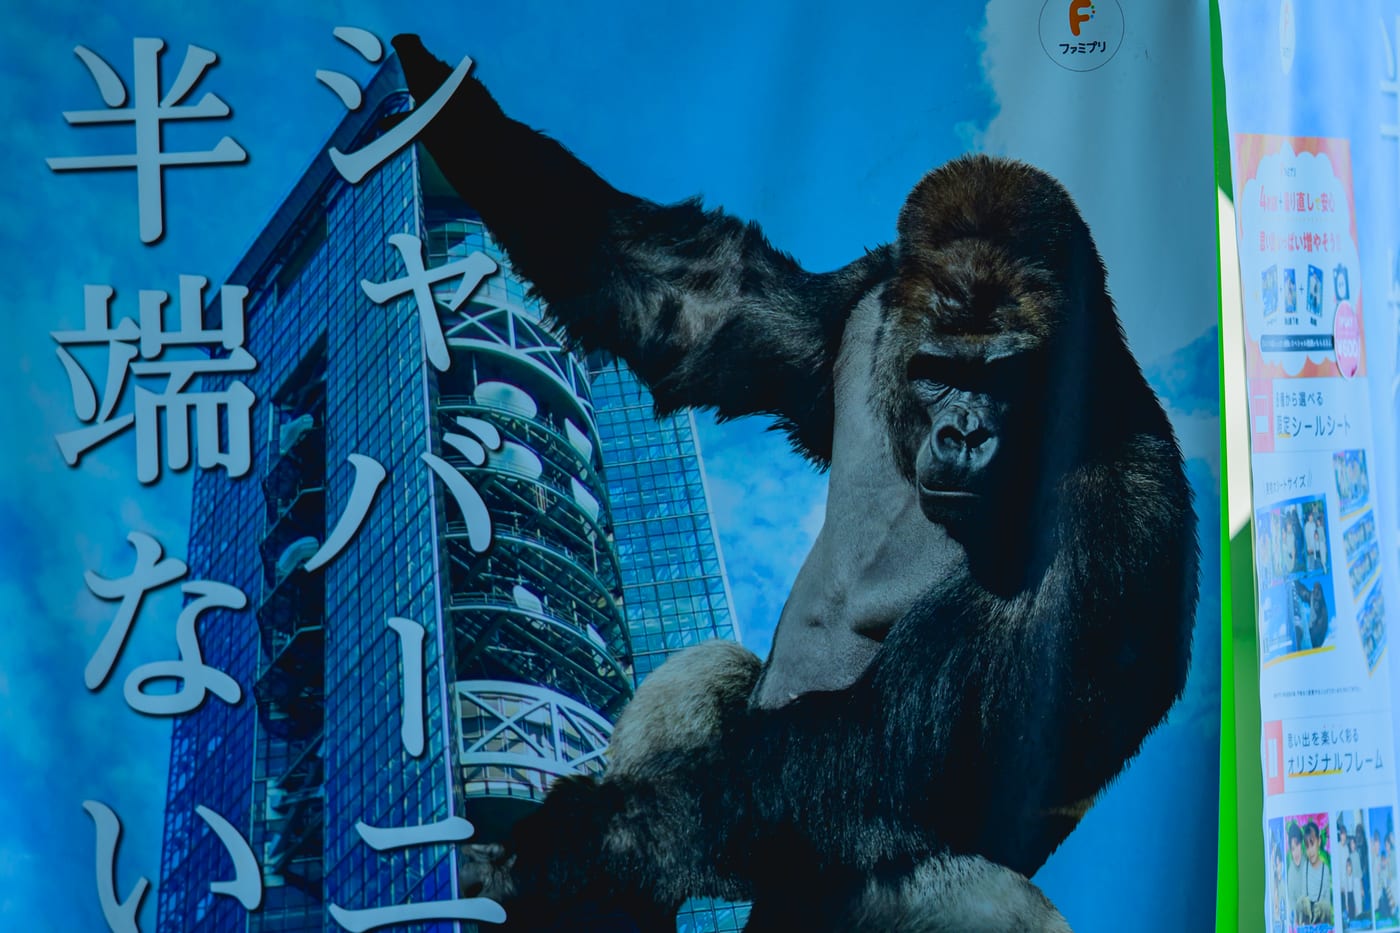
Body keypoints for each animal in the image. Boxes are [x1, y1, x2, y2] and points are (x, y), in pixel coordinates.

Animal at [391, 35, 1198, 931]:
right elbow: (696, 303)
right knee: (707, 677)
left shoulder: (1119, 516)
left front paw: (545, 855)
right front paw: (437, 97)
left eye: (1004, 377)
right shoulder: (870, 298)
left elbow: (877, 754)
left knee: (975, 889)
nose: (963, 433)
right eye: (939, 371)